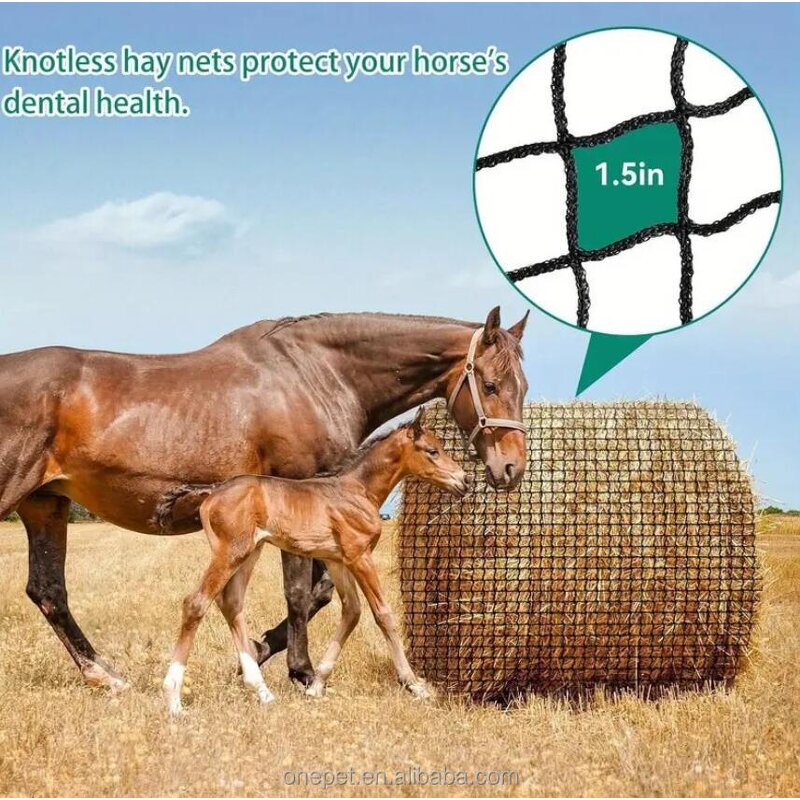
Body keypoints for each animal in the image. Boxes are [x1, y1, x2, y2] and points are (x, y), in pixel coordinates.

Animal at [160, 410, 468, 715]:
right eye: (432, 451)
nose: (463, 481)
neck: (358, 490)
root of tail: (211, 493)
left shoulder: (337, 560)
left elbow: (352, 611)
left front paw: (317, 685)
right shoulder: (360, 556)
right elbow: (383, 614)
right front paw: (414, 684)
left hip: (250, 552)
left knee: (231, 603)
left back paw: (262, 692)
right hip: (230, 552)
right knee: (196, 603)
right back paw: (174, 699)